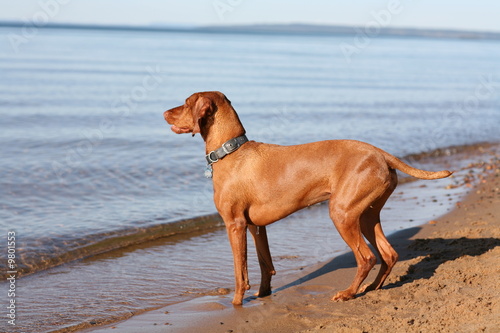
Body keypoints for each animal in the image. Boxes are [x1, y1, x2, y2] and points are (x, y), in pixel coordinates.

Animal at [164, 90, 454, 304]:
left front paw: (236, 304)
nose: (165, 112)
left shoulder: (234, 224)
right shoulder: (257, 226)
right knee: (389, 254)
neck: (231, 152)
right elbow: (265, 264)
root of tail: (381, 153)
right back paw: (372, 288)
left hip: (342, 213)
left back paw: (348, 293)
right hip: (366, 215)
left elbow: (240, 272)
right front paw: (263, 294)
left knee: (367, 258)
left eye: (187, 103)